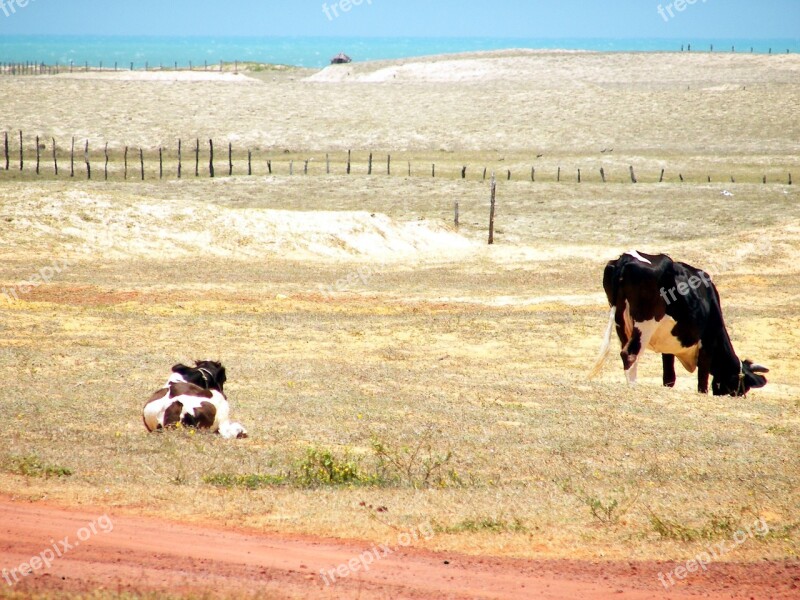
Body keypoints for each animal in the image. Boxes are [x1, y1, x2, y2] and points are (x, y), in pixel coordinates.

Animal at [592, 251, 768, 396]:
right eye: (744, 386)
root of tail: (625, 258)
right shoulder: (707, 343)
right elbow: (702, 382)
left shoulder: (667, 347)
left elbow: (669, 378)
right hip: (645, 323)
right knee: (630, 354)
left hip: (620, 321)